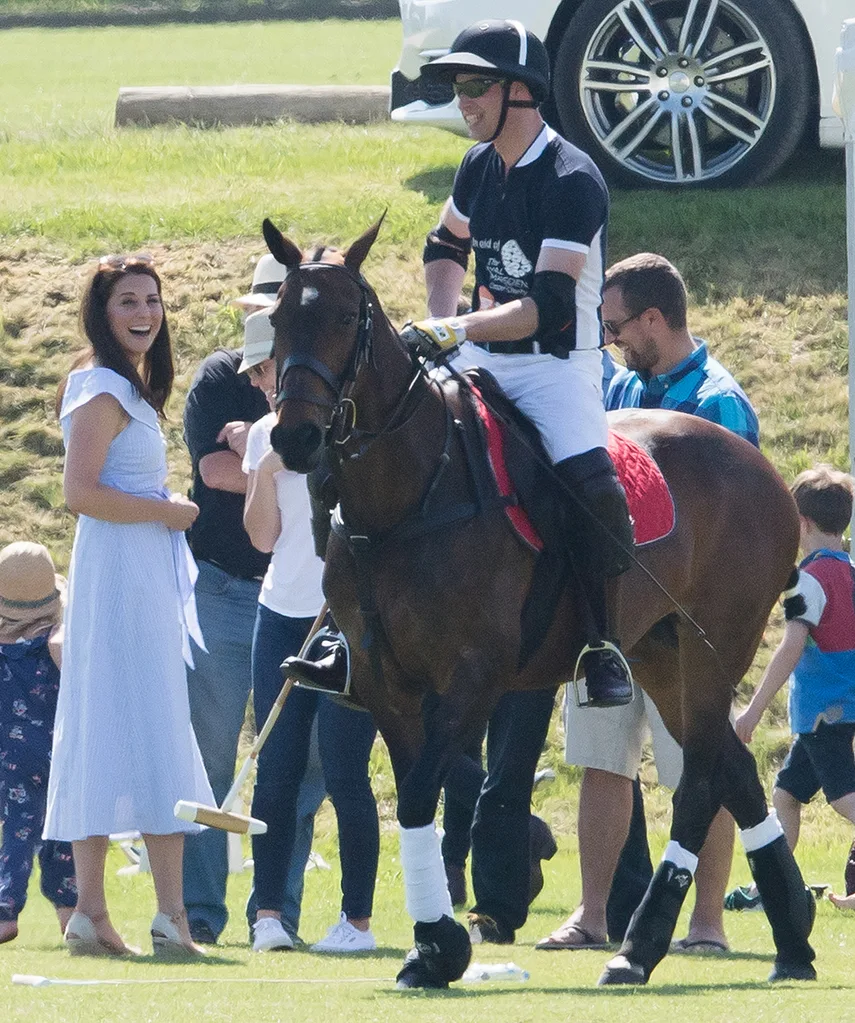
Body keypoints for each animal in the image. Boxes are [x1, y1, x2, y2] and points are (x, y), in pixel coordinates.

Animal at [263, 217, 818, 990]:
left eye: (347, 317)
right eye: (278, 318)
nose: (294, 436)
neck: (407, 498)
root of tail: (762, 467)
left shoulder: (472, 674)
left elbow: (422, 792)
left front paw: (441, 941)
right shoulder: (381, 679)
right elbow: (417, 794)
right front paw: (433, 946)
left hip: (716, 644)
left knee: (702, 777)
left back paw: (637, 947)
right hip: (659, 649)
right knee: (733, 764)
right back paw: (792, 934)